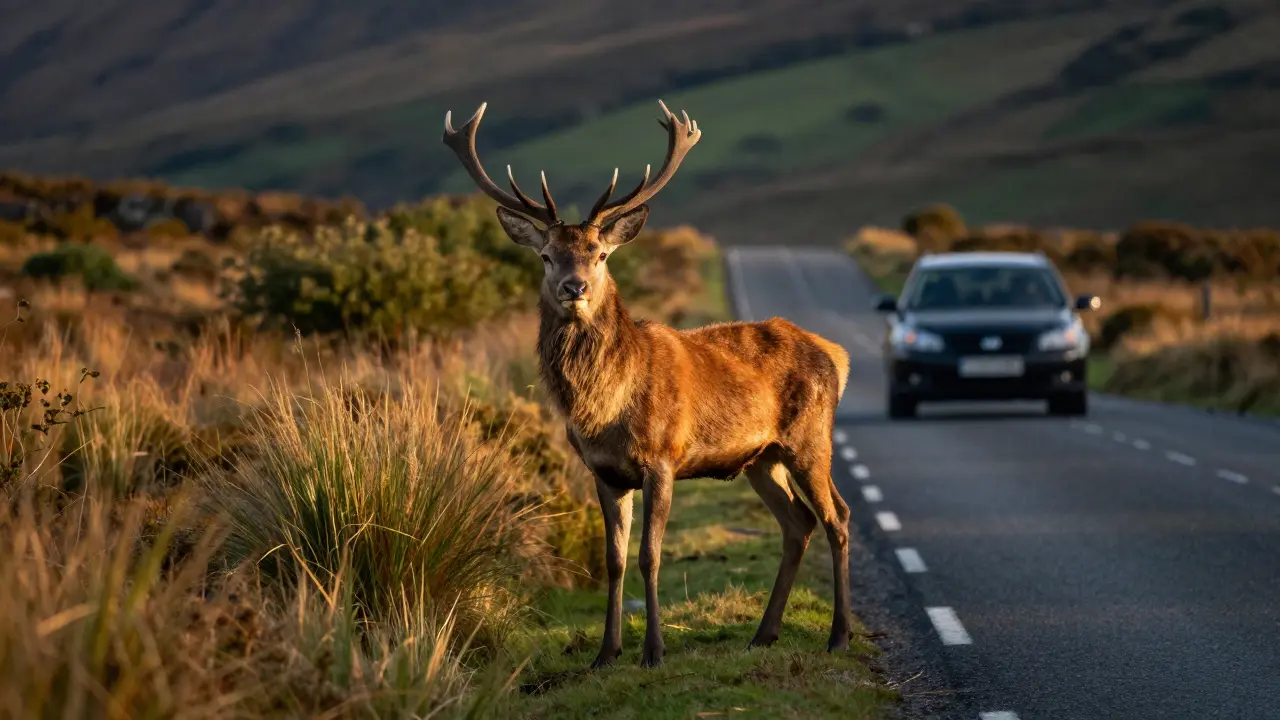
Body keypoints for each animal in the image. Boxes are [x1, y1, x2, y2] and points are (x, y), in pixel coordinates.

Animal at [442, 99, 853, 669]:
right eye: (546, 256)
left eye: (601, 254)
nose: (575, 288)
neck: (606, 409)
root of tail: (836, 355)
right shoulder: (604, 472)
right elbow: (613, 559)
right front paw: (605, 652)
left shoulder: (662, 458)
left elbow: (649, 555)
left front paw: (654, 651)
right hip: (761, 457)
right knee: (798, 525)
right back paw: (763, 634)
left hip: (809, 439)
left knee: (838, 518)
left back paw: (839, 635)